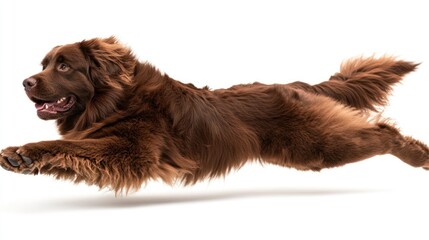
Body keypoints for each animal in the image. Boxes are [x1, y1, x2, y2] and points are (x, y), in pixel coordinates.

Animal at [0, 36, 428, 193]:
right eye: (43, 64)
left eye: (64, 66)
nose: (24, 82)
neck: (116, 98)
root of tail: (301, 85)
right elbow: (72, 152)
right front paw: (26, 160)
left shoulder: (130, 151)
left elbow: (69, 147)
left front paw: (23, 152)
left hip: (315, 146)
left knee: (384, 132)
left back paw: (419, 155)